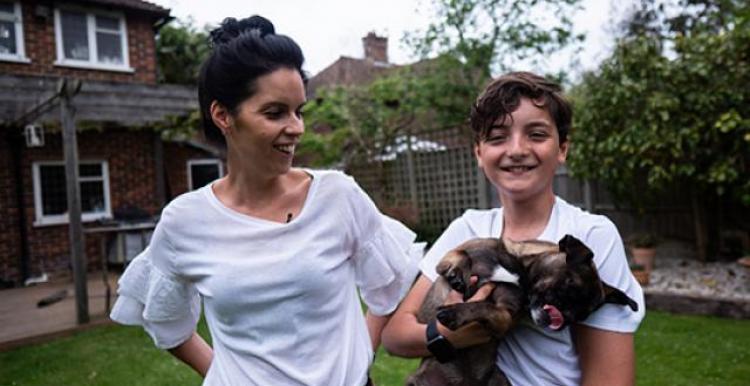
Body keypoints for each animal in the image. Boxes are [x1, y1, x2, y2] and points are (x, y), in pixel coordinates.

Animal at [408, 235, 636, 386]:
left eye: (582, 315)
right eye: (569, 286)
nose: (564, 317)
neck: (519, 269)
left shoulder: (503, 317)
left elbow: (484, 307)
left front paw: (455, 313)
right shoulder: (449, 258)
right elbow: (461, 253)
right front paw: (457, 272)